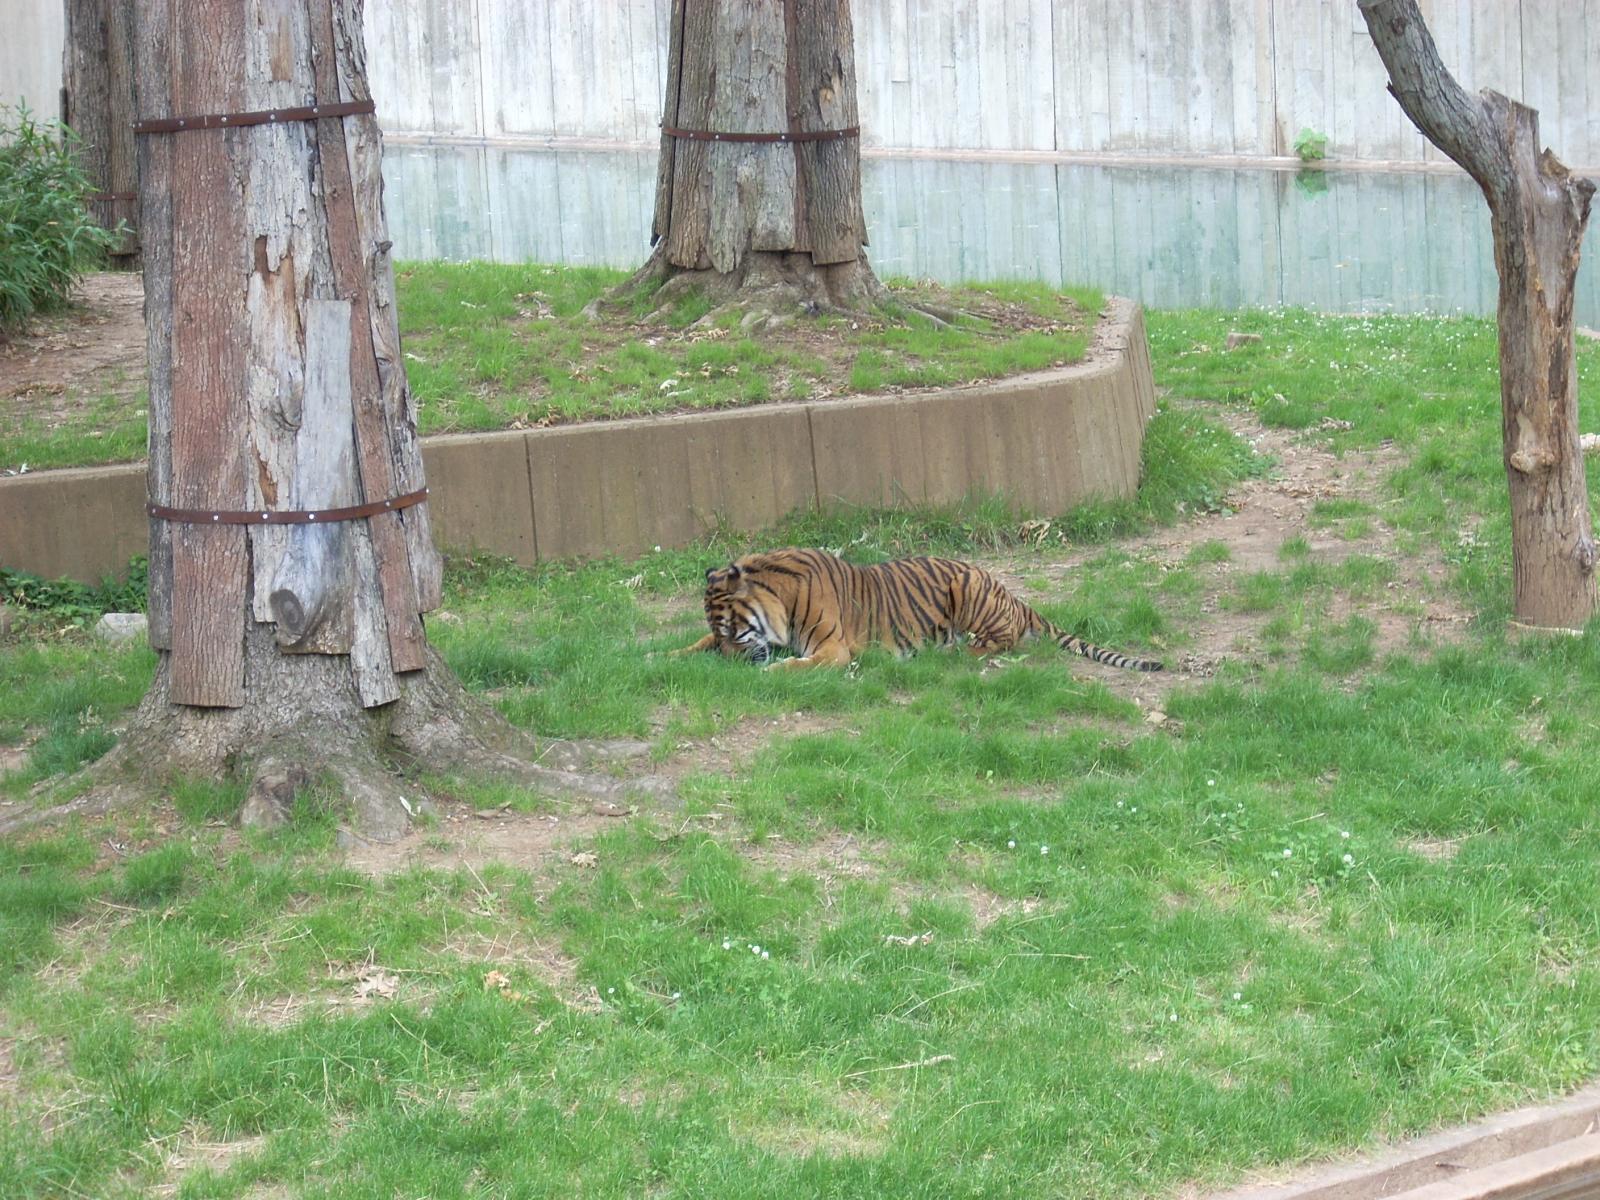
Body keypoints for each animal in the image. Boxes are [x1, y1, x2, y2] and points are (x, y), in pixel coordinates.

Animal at [673, 548, 1163, 672]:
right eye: (720, 633)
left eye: (734, 631)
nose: (728, 665)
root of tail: (1016, 597)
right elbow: (692, 642)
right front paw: (672, 654)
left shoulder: (834, 650)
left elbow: (798, 664)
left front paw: (774, 670)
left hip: (968, 587)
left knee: (997, 642)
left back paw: (954, 652)